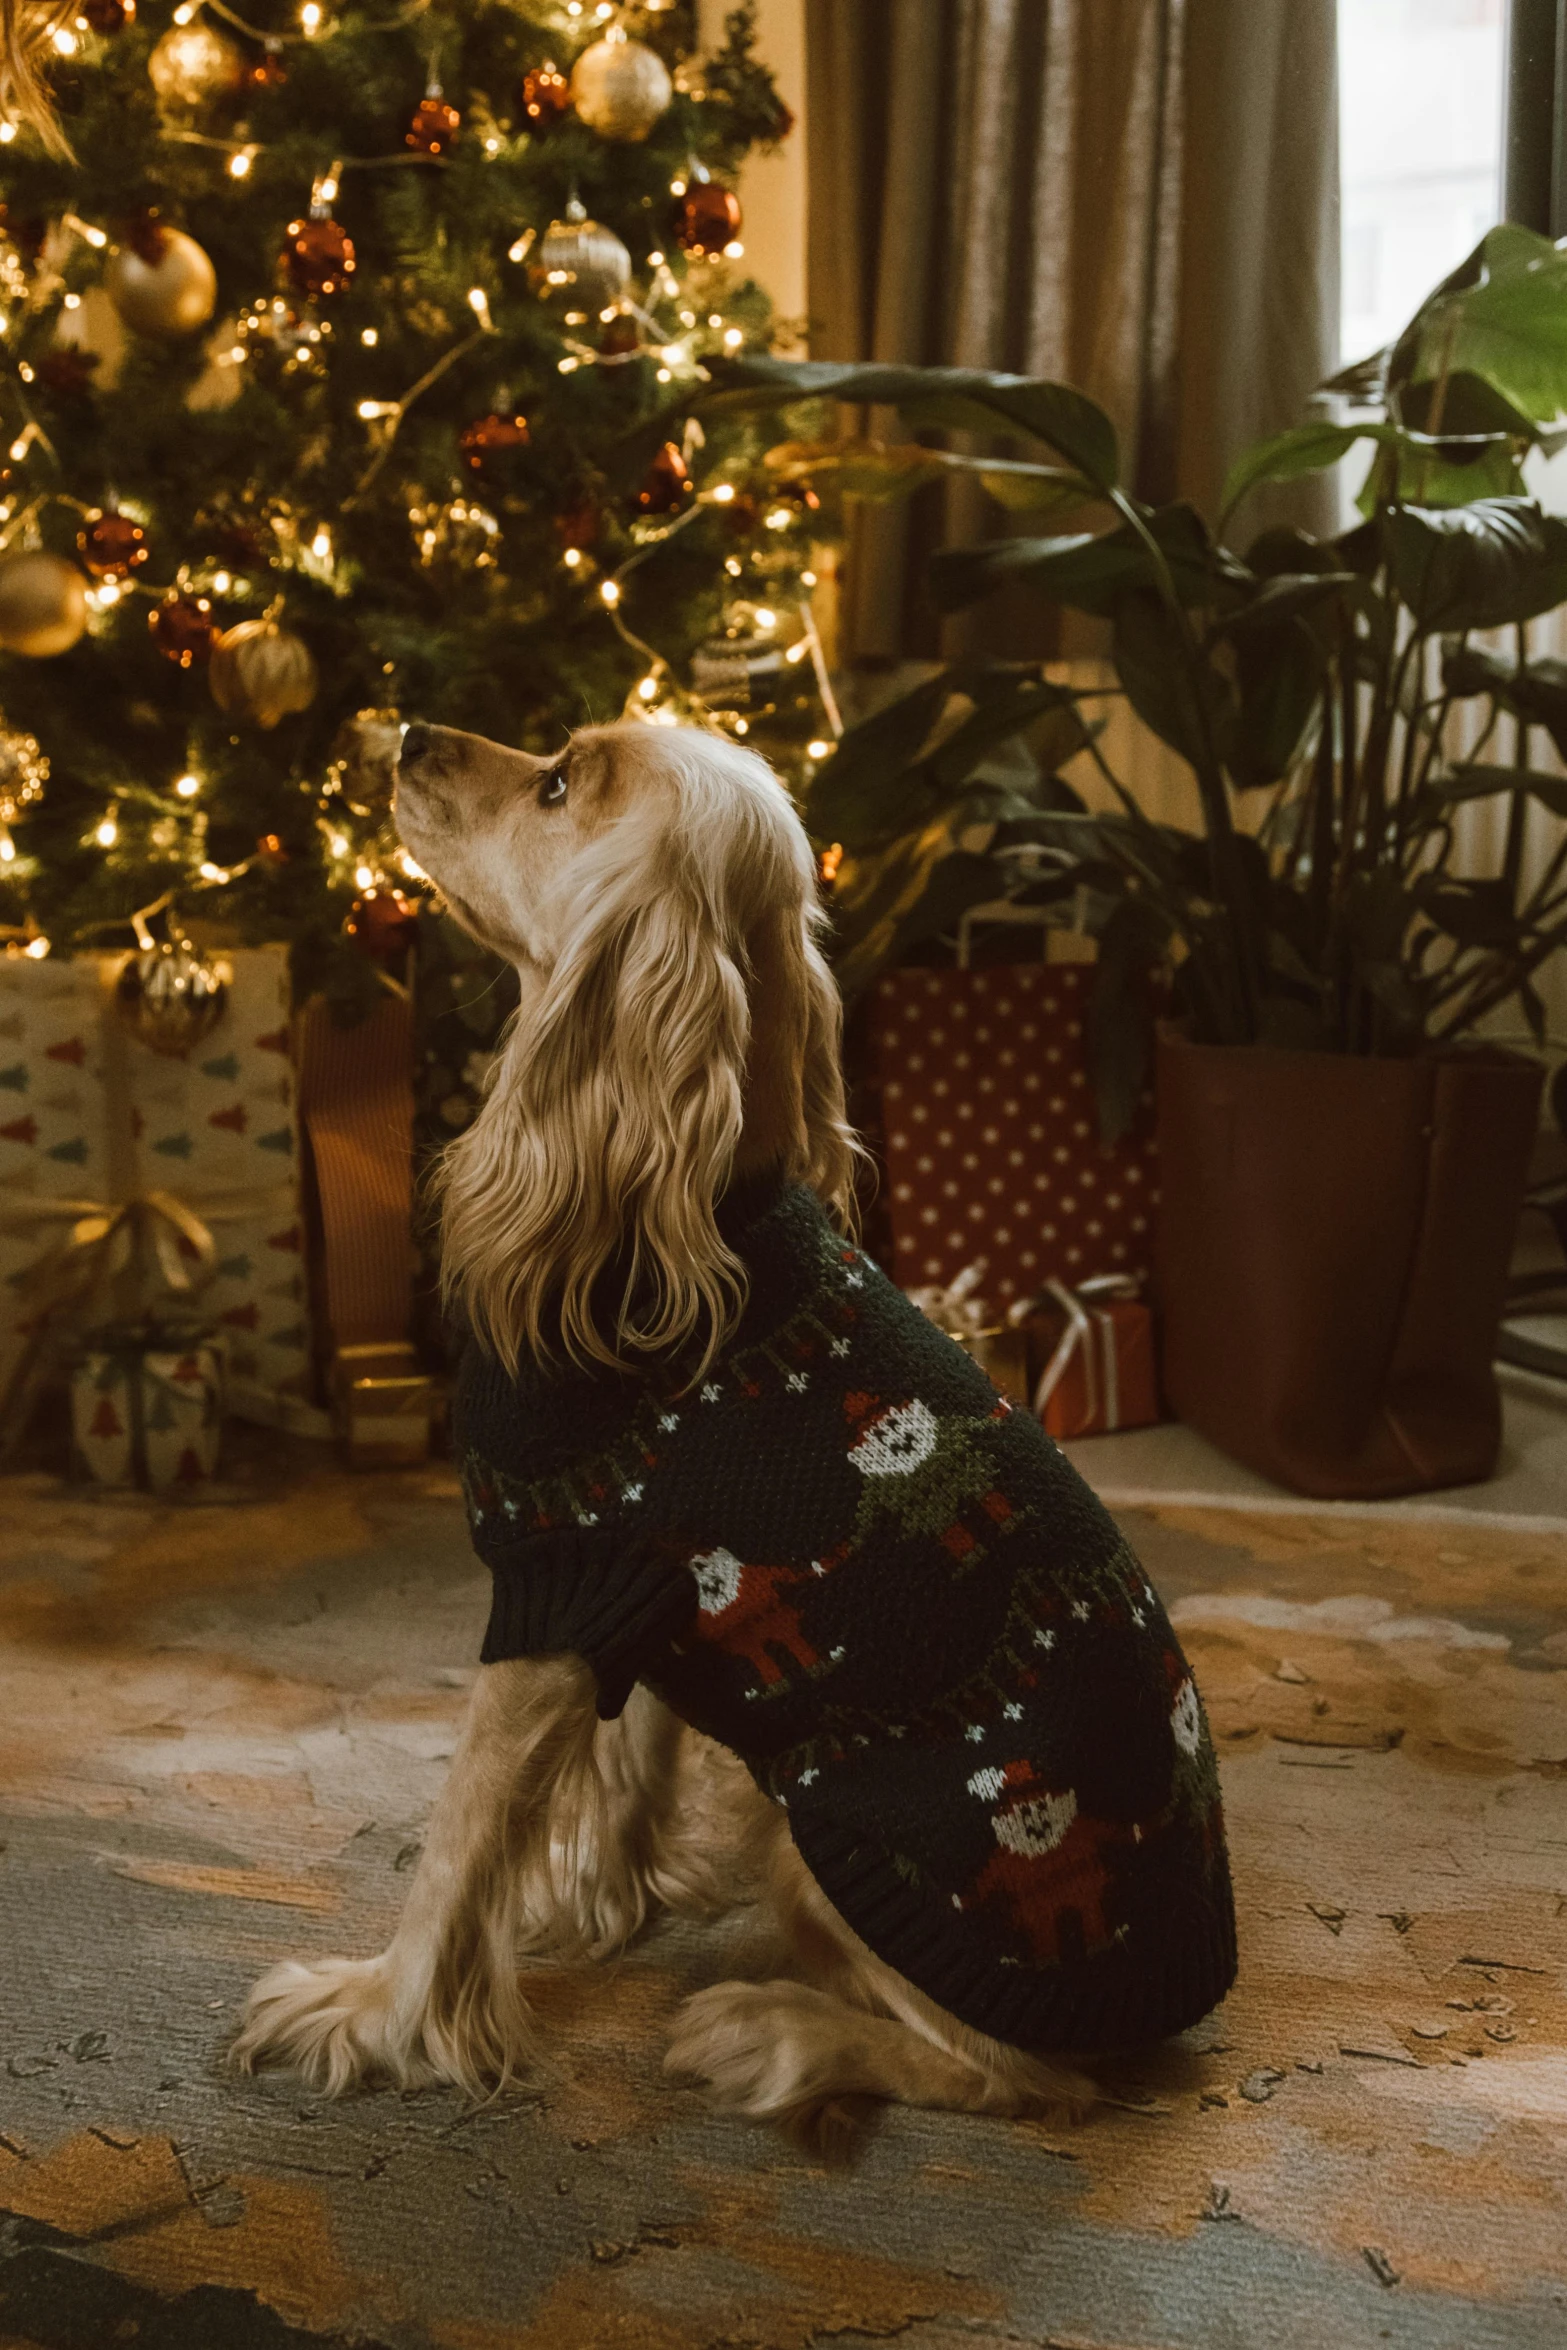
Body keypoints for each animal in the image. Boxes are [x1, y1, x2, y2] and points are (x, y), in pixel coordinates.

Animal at [236, 719, 1240, 2152]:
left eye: (557, 782)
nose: (406, 731)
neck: (674, 1206)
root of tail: (1186, 1991)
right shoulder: (650, 1599)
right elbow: (626, 1768)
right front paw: (594, 1902)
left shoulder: (552, 1592)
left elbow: (457, 1844)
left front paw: (370, 2015)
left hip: (843, 1848)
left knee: (1028, 2084)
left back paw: (779, 2034)